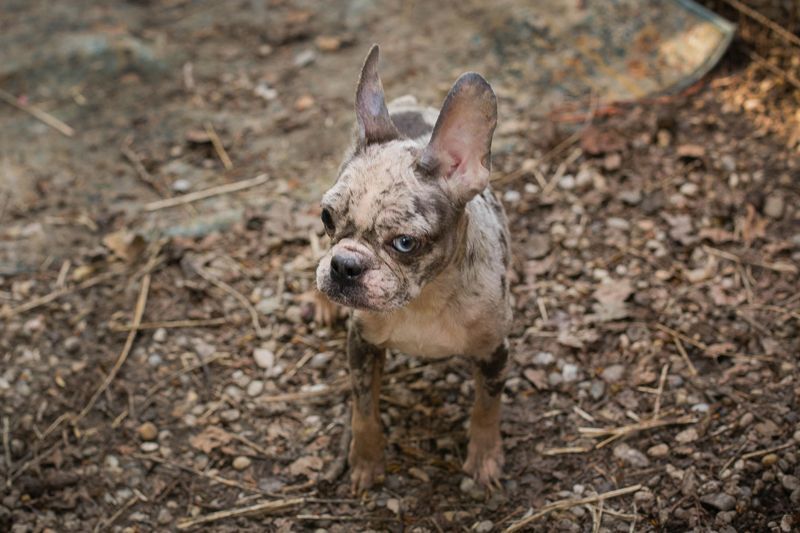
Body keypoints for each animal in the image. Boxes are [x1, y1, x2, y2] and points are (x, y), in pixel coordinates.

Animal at [316, 45, 512, 493]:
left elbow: (486, 407)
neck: (425, 298)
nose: (344, 265)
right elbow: (364, 409)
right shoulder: (361, 345)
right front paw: (366, 460)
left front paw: (485, 457)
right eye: (327, 218)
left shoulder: (494, 352)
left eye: (405, 243)